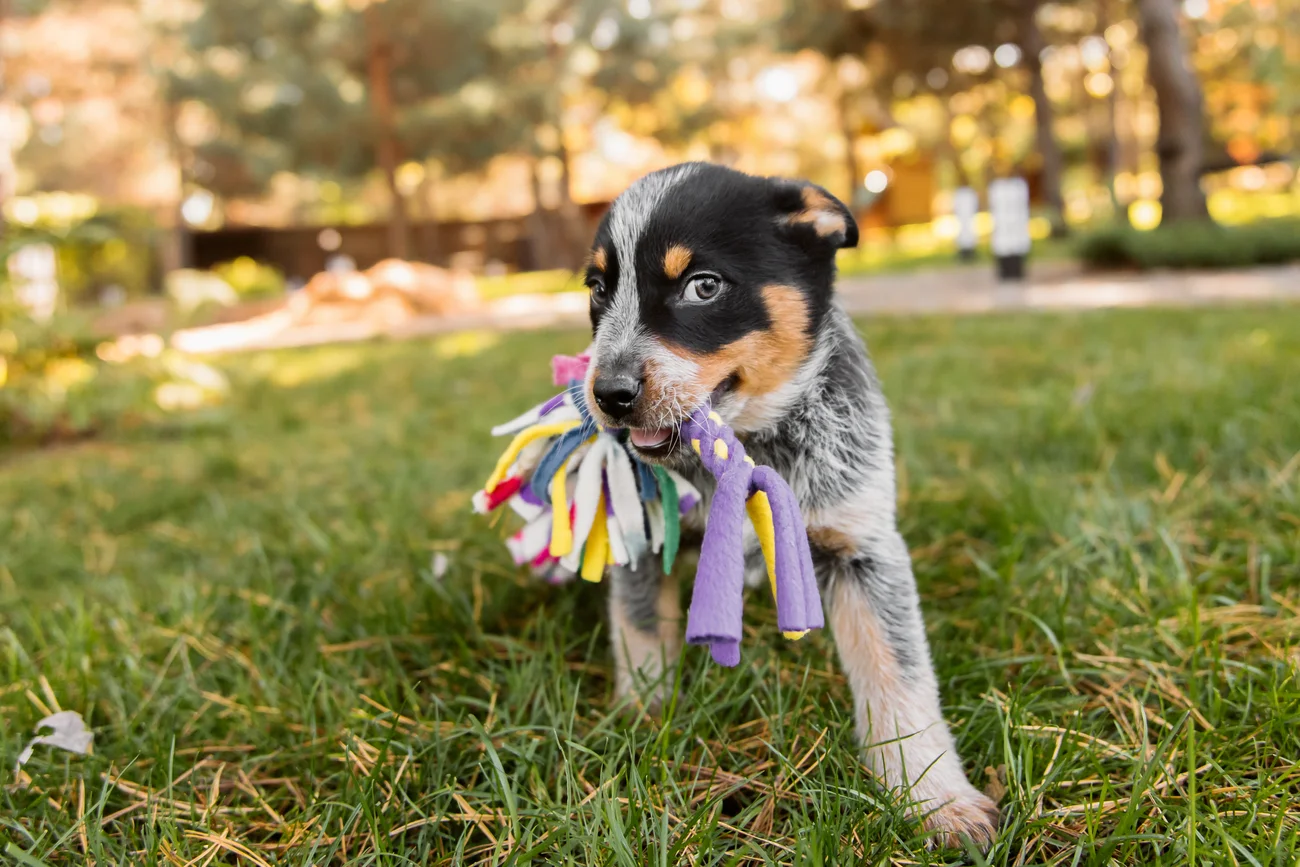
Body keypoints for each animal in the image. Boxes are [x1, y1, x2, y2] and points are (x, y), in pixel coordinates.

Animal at [579, 161, 993, 847]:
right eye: (596, 289)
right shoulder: (643, 538)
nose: (608, 393)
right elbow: (641, 639)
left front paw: (934, 796)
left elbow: (899, 675)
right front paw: (644, 725)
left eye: (703, 286)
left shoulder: (862, 546)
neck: (742, 449)